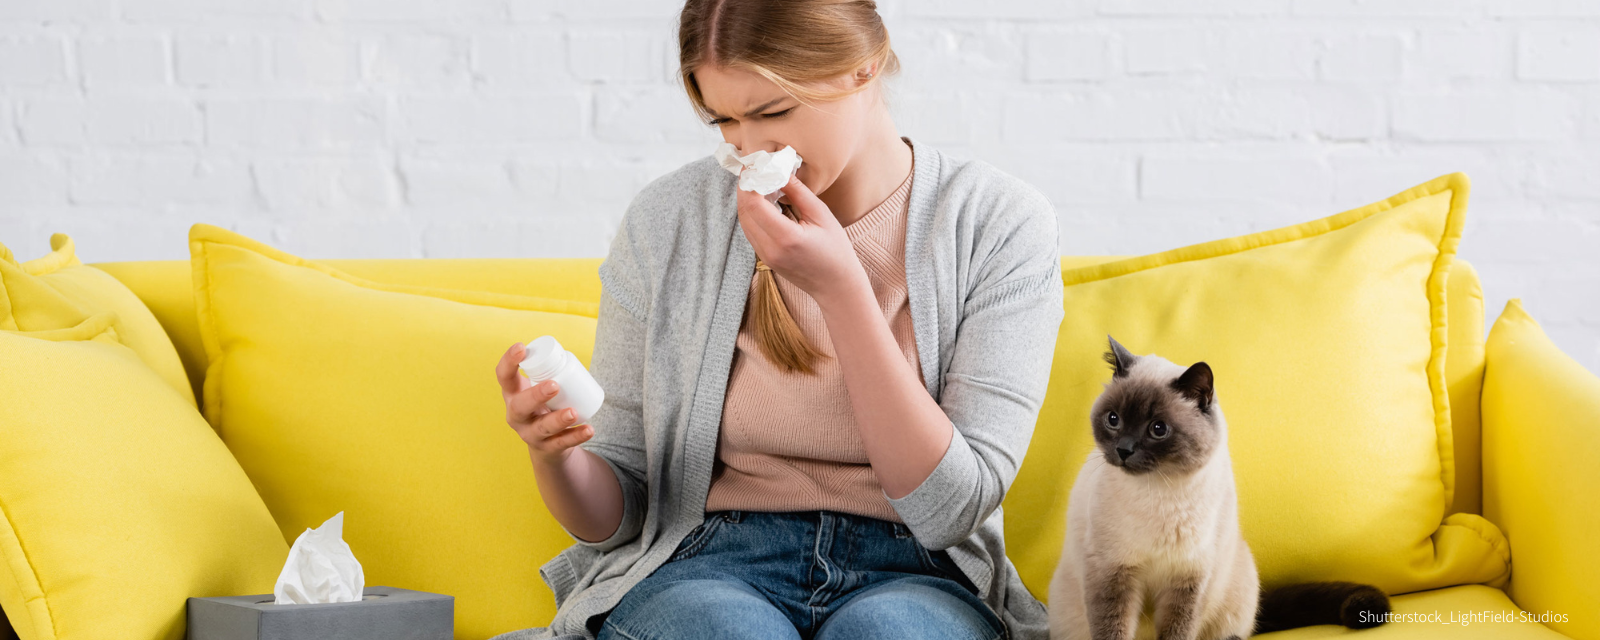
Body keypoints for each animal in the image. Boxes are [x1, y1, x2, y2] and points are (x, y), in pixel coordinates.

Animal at [1049, 337, 1388, 636]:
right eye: (1113, 419)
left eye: (1158, 429)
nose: (1123, 450)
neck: (1159, 491)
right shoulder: (1112, 574)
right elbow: (1111, 630)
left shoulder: (1189, 579)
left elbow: (1177, 632)